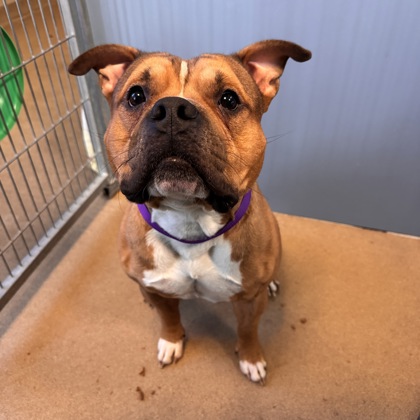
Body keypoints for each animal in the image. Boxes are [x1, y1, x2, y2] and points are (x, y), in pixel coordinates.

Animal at [69, 39, 311, 384]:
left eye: (229, 99)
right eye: (135, 96)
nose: (172, 110)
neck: (189, 220)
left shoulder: (251, 301)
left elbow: (248, 331)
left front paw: (251, 359)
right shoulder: (158, 291)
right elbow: (168, 317)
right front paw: (172, 341)